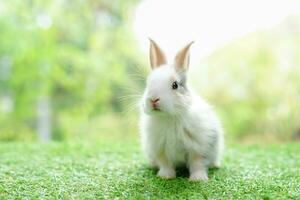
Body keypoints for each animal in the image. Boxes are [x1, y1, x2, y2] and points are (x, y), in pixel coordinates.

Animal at [139, 39, 224, 181]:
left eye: (175, 85)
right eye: (148, 83)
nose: (153, 99)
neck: (170, 117)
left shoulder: (198, 148)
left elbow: (197, 164)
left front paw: (198, 179)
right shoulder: (161, 149)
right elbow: (165, 164)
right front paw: (165, 177)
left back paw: (216, 165)